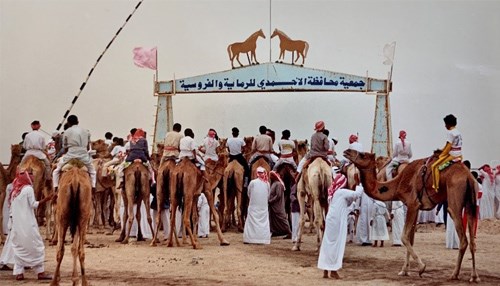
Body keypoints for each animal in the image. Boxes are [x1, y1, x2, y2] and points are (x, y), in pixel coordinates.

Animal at [344, 150, 480, 282]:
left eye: (362, 155)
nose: (347, 151)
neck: (398, 184)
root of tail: (468, 177)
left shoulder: (412, 204)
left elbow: (404, 237)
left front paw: (421, 267)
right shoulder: (417, 207)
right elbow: (411, 239)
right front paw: (404, 270)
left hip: (454, 199)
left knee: (463, 239)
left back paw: (454, 274)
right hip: (471, 202)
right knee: (473, 241)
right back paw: (474, 276)